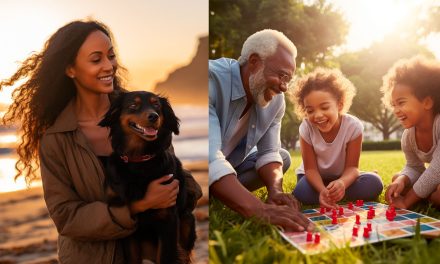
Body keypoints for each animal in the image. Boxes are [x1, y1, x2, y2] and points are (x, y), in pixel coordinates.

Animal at [100, 91, 197, 264]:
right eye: (133, 105)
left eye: (156, 104)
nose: (153, 116)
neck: (139, 160)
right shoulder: (127, 223)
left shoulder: (168, 220)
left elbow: (167, 257)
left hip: (187, 221)